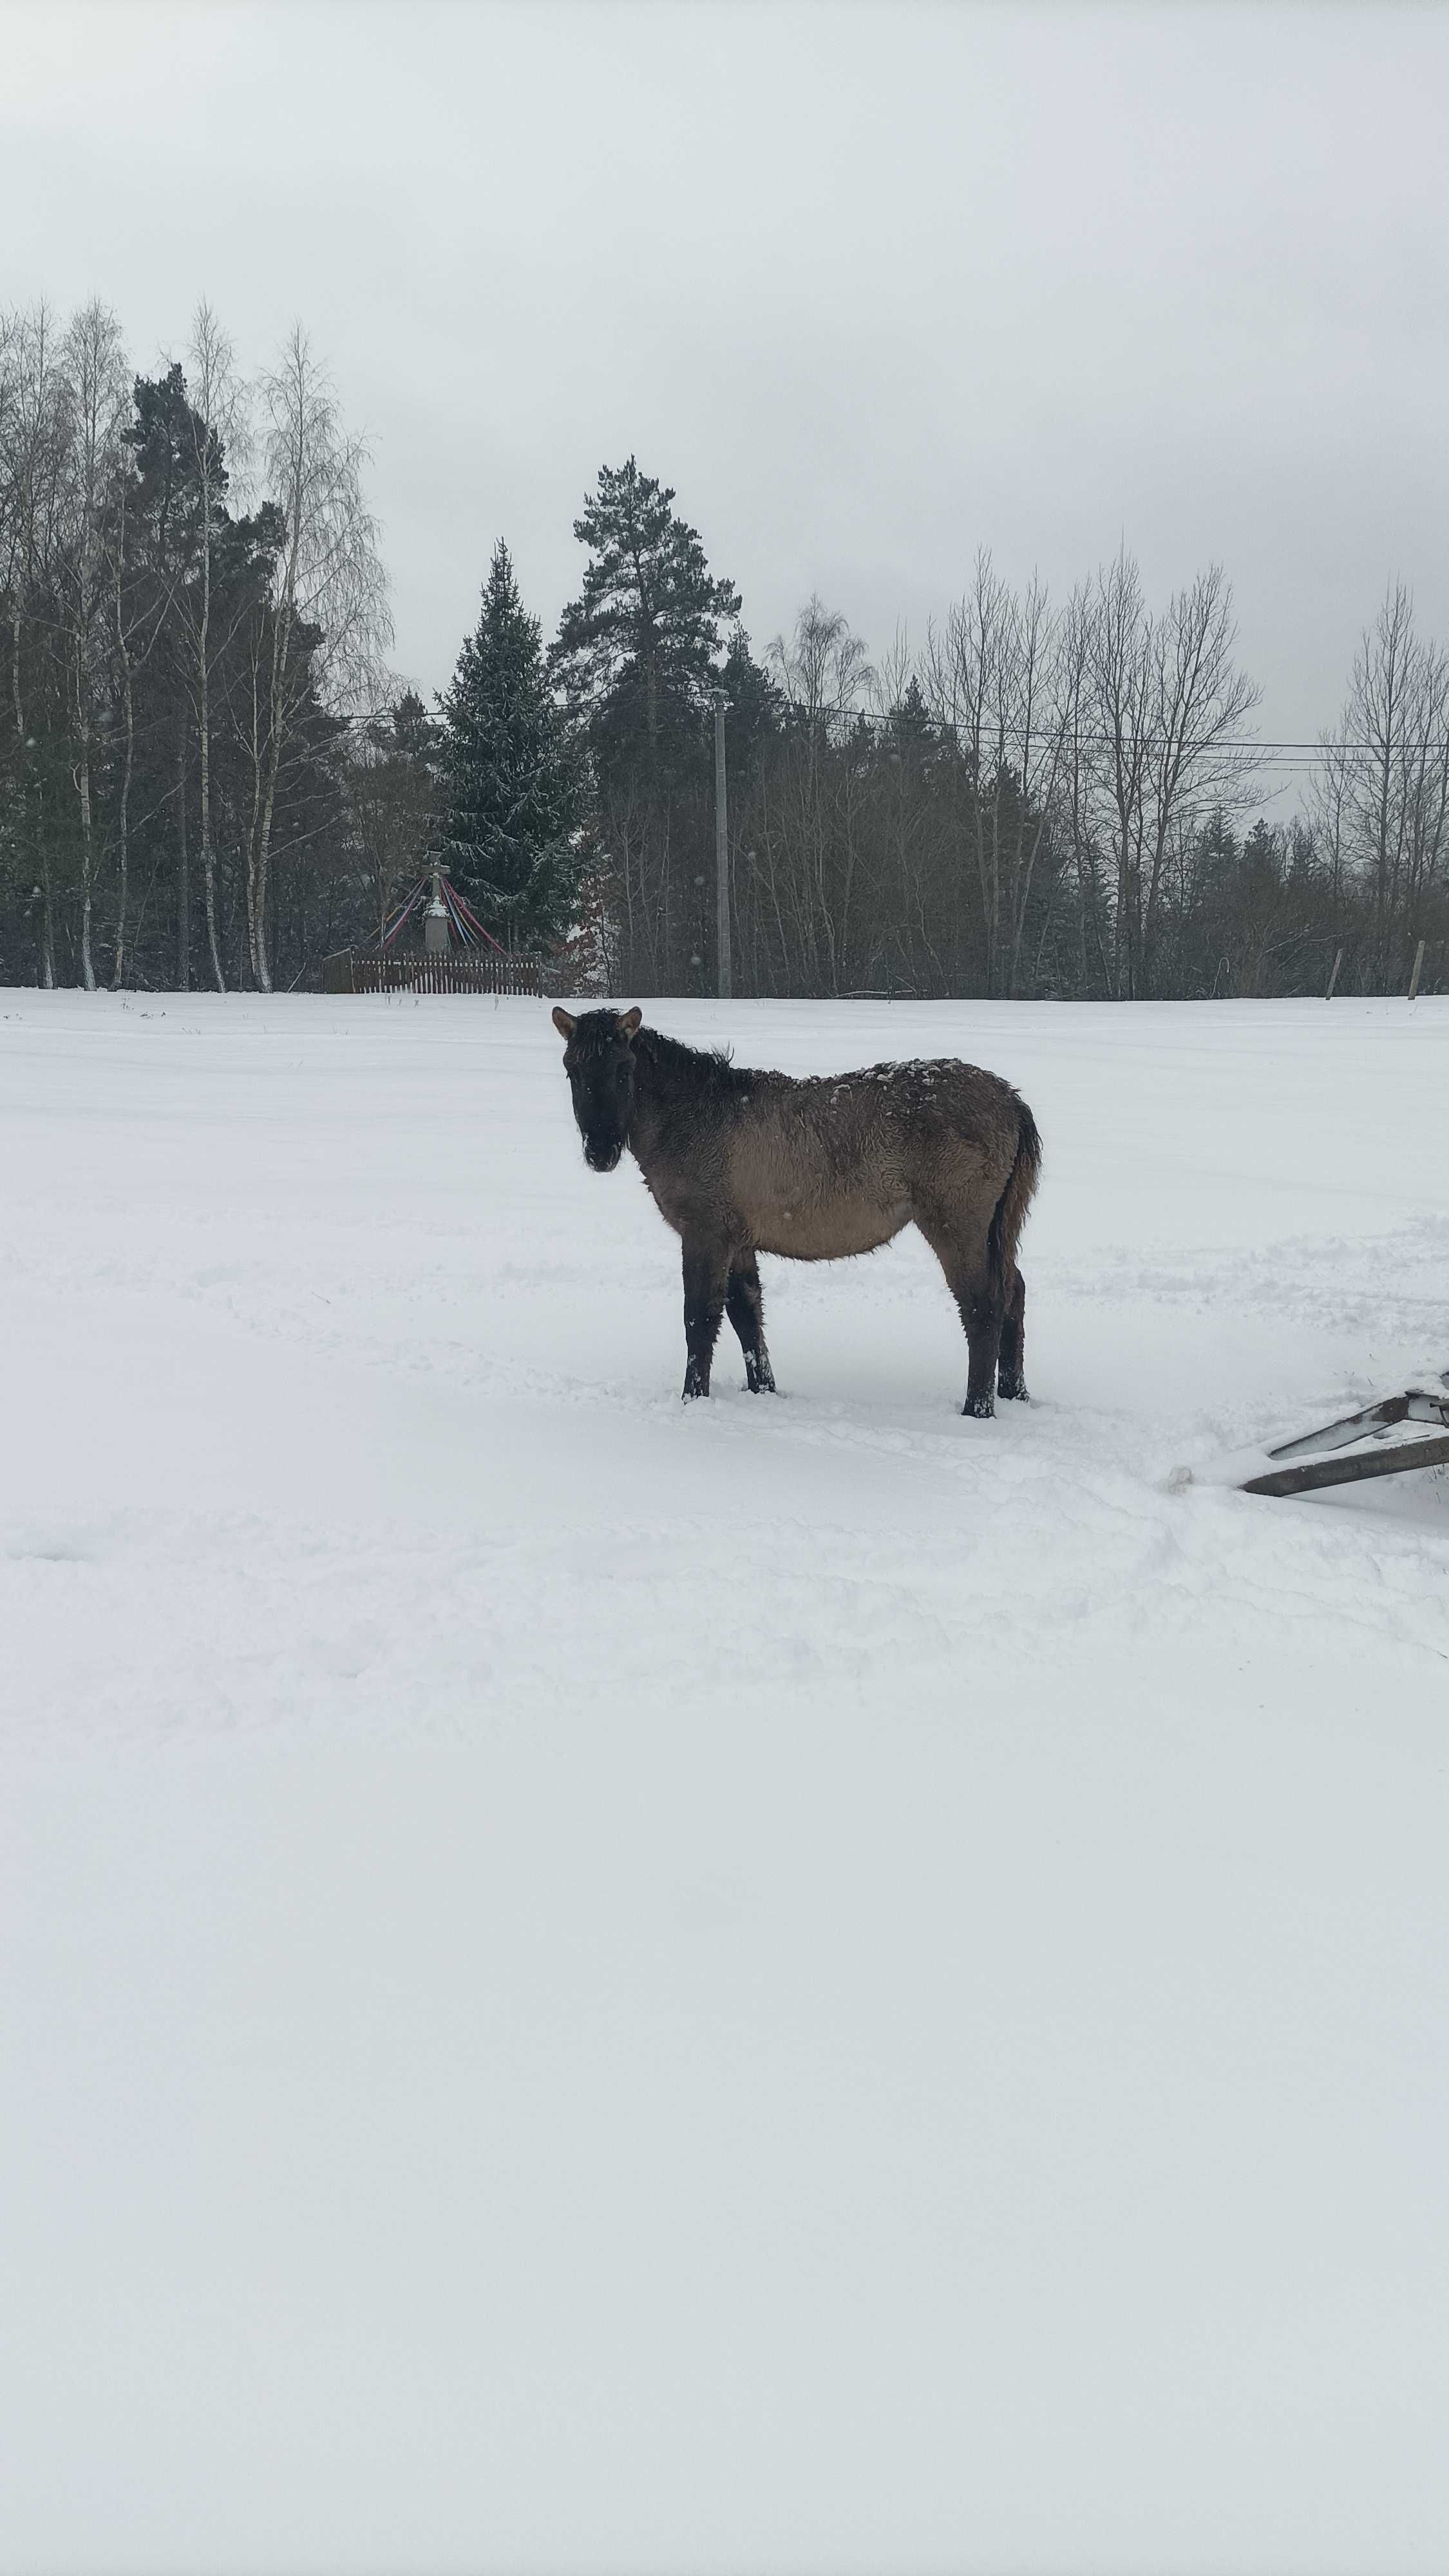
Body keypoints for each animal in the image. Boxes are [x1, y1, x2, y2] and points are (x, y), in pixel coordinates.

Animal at [549, 999, 1036, 1412]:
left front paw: (693, 1398)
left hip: (956, 1228)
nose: (600, 1152)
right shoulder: (738, 1241)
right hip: (996, 1230)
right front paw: (764, 1391)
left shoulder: (705, 1236)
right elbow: (746, 1314)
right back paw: (1013, 1393)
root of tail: (1010, 1100)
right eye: (572, 1071)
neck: (695, 1117)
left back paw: (977, 1409)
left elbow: (699, 1319)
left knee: (983, 1306)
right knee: (1013, 1292)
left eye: (622, 1070)